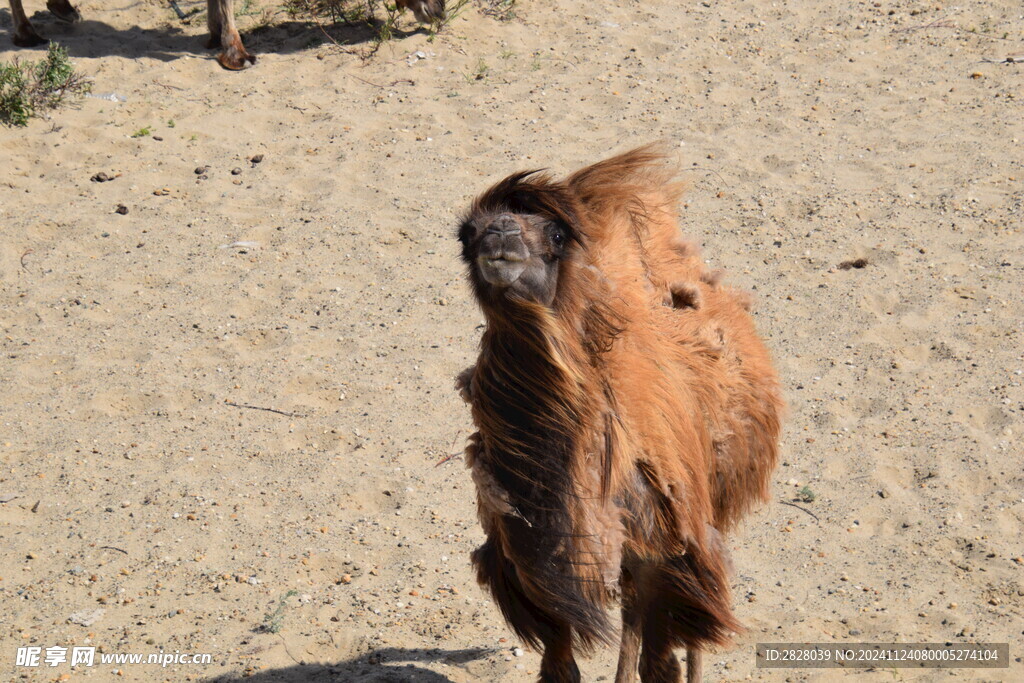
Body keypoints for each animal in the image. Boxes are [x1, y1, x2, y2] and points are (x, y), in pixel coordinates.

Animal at [456, 147, 782, 679]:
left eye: (555, 235)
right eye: (467, 232)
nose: (501, 232)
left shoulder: (666, 546)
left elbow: (652, 648)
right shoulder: (529, 567)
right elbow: (561, 659)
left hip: (703, 504)